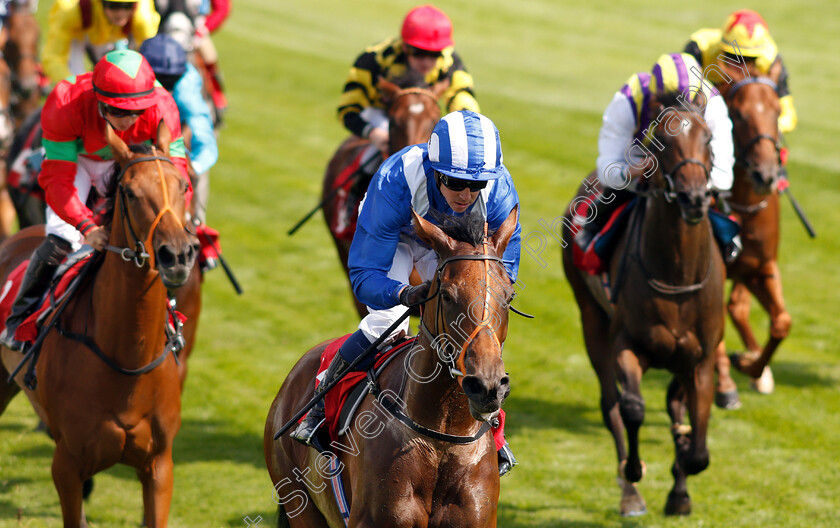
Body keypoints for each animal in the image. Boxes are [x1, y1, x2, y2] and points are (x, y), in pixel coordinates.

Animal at [0, 133, 196, 528]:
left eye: (183, 185)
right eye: (131, 193)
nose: (177, 256)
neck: (127, 359)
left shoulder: (159, 466)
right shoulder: (67, 465)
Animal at [564, 96, 728, 516]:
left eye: (708, 138)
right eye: (663, 141)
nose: (693, 198)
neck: (677, 275)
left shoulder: (700, 358)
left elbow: (697, 445)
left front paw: (681, 484)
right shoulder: (628, 343)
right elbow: (633, 408)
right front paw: (636, 471)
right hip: (591, 319)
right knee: (611, 404)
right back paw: (630, 491)